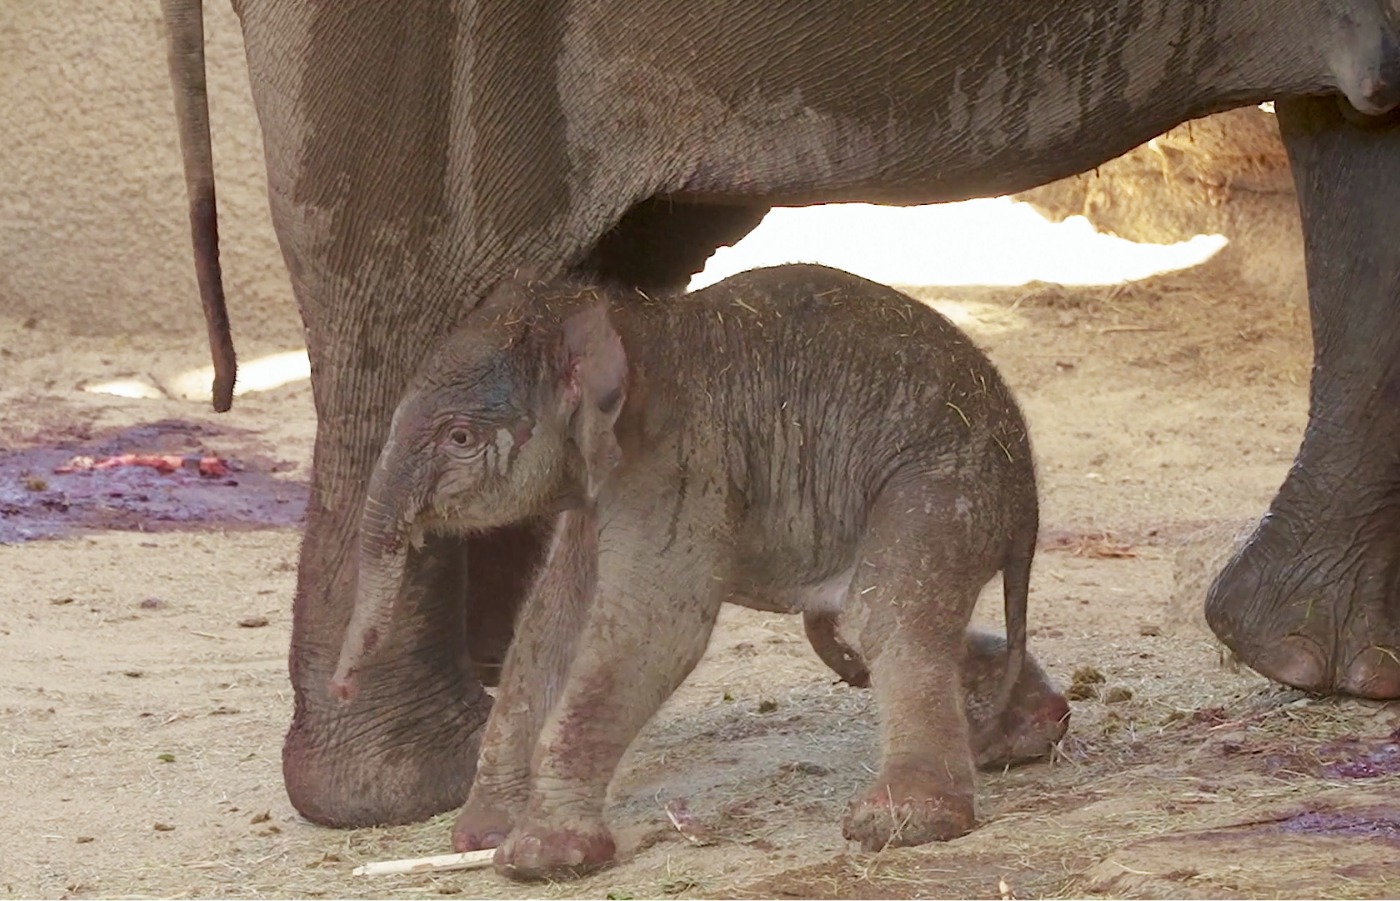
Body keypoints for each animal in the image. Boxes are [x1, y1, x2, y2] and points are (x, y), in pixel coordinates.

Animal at [330, 264, 1045, 877]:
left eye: (460, 439)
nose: (340, 688)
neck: (621, 319)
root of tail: (1028, 502)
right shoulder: (605, 481)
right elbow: (551, 624)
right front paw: (483, 836)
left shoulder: (677, 458)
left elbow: (654, 628)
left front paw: (539, 860)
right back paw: (1019, 738)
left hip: (942, 480)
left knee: (888, 614)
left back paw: (900, 823)